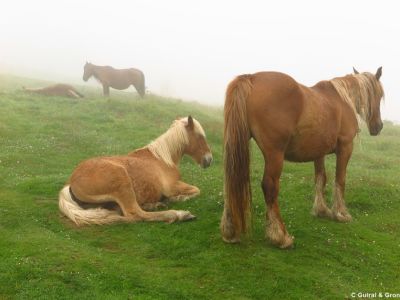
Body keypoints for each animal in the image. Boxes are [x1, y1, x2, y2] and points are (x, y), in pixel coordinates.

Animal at [58, 116, 212, 226]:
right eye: (200, 136)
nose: (209, 159)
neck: (162, 158)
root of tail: (70, 183)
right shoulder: (172, 187)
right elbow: (196, 190)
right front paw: (177, 199)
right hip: (122, 184)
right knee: (135, 214)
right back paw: (180, 214)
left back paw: (154, 205)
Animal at [222, 67, 384, 248]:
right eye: (379, 95)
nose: (378, 126)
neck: (343, 99)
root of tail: (251, 78)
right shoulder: (346, 148)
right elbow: (340, 180)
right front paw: (341, 213)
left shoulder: (319, 152)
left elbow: (321, 179)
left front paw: (321, 210)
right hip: (274, 154)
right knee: (269, 187)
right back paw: (280, 236)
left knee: (232, 179)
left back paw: (230, 232)